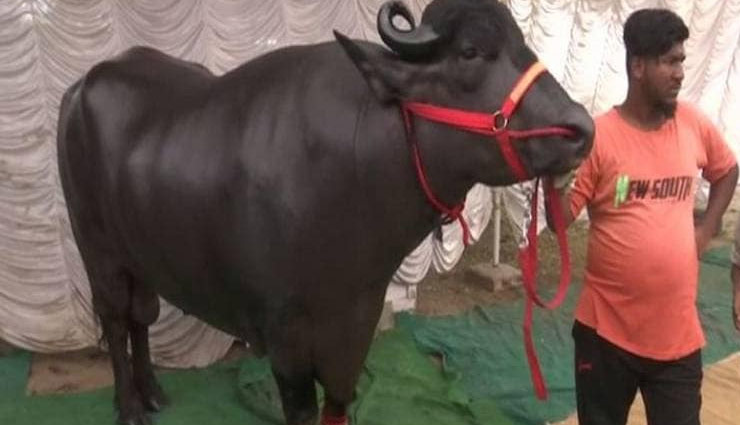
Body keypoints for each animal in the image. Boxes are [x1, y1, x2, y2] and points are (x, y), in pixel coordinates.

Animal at [57, 0, 594, 424]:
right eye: (471, 52)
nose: (581, 129)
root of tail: (80, 87)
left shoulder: (355, 330)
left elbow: (338, 404)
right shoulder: (286, 338)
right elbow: (301, 410)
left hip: (140, 254)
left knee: (141, 315)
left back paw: (152, 392)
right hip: (96, 249)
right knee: (115, 317)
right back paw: (129, 406)